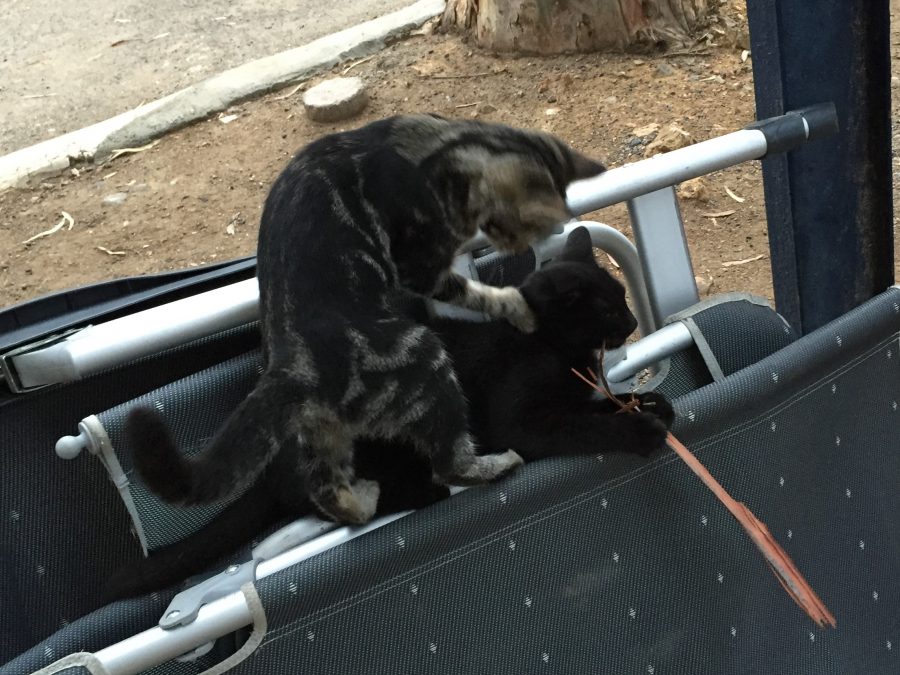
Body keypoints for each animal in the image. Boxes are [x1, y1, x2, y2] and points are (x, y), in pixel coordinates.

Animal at [102, 226, 673, 603]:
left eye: (623, 297)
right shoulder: (523, 420)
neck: (555, 349)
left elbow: (603, 401)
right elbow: (583, 423)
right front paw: (638, 427)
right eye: (607, 308)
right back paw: (427, 488)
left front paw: (651, 403)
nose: (631, 321)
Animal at [129, 114, 606, 526]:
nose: (517, 247)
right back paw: (495, 464)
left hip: (324, 433)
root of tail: (293, 367)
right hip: (428, 360)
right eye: (514, 229)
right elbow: (477, 292)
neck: (443, 145)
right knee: (448, 464)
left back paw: (362, 502)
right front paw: (519, 307)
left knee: (327, 490)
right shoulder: (420, 265)